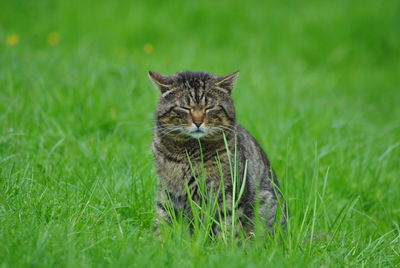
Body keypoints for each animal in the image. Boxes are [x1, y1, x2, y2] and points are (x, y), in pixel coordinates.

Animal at [149, 70, 284, 236]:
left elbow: (226, 227)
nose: (198, 122)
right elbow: (163, 225)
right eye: (185, 108)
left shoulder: (228, 194)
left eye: (210, 107)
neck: (191, 153)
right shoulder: (168, 193)